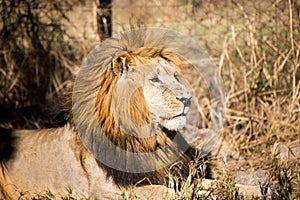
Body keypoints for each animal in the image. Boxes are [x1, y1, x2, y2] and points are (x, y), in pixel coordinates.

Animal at [0, 28, 205, 199]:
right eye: (155, 79)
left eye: (176, 76)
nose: (187, 99)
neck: (147, 139)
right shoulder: (104, 191)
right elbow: (165, 191)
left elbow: (201, 182)